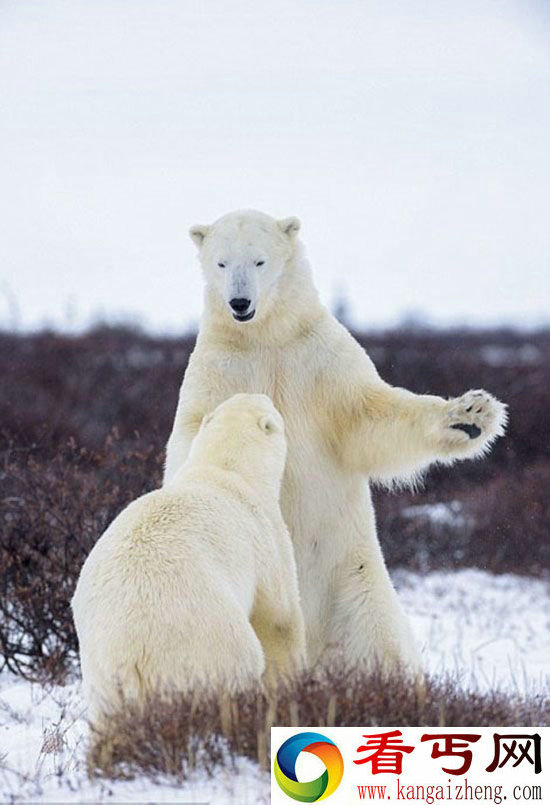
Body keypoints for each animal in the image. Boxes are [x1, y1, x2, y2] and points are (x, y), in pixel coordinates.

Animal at [71, 392, 308, 720]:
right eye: (268, 405)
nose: (261, 393)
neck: (223, 468)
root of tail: (127, 655)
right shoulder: (264, 533)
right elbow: (279, 616)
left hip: (100, 677)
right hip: (204, 639)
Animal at [166, 210, 512, 676]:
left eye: (259, 261)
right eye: (221, 263)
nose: (238, 303)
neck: (265, 336)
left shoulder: (320, 359)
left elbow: (370, 416)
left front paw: (471, 416)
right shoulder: (220, 366)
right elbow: (193, 429)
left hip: (355, 585)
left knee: (381, 643)